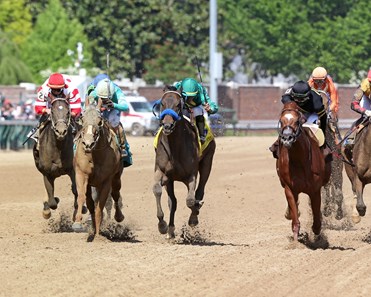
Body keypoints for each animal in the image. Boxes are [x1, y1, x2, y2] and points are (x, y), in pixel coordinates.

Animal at [72, 104, 125, 238]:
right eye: (82, 119)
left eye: (99, 121)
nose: (88, 144)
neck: (95, 156)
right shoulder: (81, 174)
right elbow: (82, 196)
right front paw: (77, 222)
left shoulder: (106, 181)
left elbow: (100, 207)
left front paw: (97, 234)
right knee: (90, 202)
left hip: (116, 178)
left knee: (115, 194)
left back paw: (118, 216)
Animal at [153, 85, 217, 238]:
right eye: (162, 103)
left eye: (178, 105)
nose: (167, 125)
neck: (174, 148)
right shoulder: (162, 172)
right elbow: (157, 190)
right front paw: (162, 225)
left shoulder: (191, 175)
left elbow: (190, 200)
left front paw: (194, 217)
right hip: (170, 180)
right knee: (173, 201)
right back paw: (170, 230)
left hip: (207, 162)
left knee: (199, 191)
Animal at [276, 100, 332, 239]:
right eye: (281, 121)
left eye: (297, 121)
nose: (287, 138)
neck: (299, 161)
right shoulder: (290, 189)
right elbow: (295, 220)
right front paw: (296, 241)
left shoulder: (315, 190)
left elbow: (317, 219)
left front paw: (317, 235)